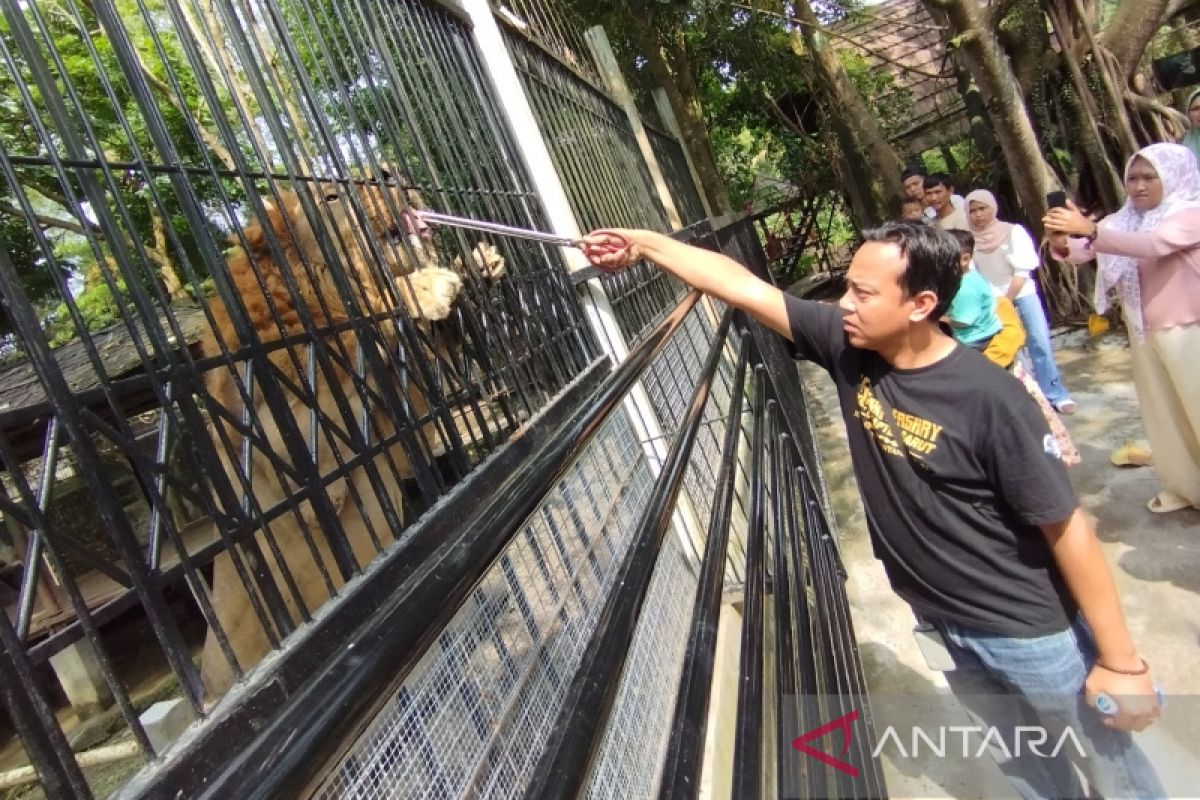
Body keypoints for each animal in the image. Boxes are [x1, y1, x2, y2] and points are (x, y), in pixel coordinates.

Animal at [196, 173, 501, 695]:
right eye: (331, 195)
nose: (390, 173)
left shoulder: (403, 426)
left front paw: (476, 266)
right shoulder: (298, 451)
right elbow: (356, 319)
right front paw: (423, 284)